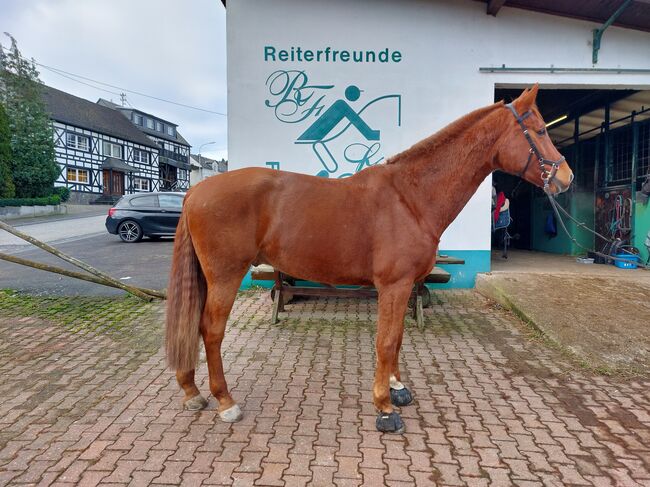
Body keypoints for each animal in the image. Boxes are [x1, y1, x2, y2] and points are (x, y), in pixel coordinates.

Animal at [165, 86, 568, 432]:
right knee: (211, 330)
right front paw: (385, 408)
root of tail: (197, 190)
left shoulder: (404, 288)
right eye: (537, 130)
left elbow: (399, 337)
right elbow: (386, 341)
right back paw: (225, 402)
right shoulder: (393, 285)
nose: (565, 176)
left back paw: (192, 392)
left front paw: (397, 388)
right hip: (225, 276)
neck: (411, 197)